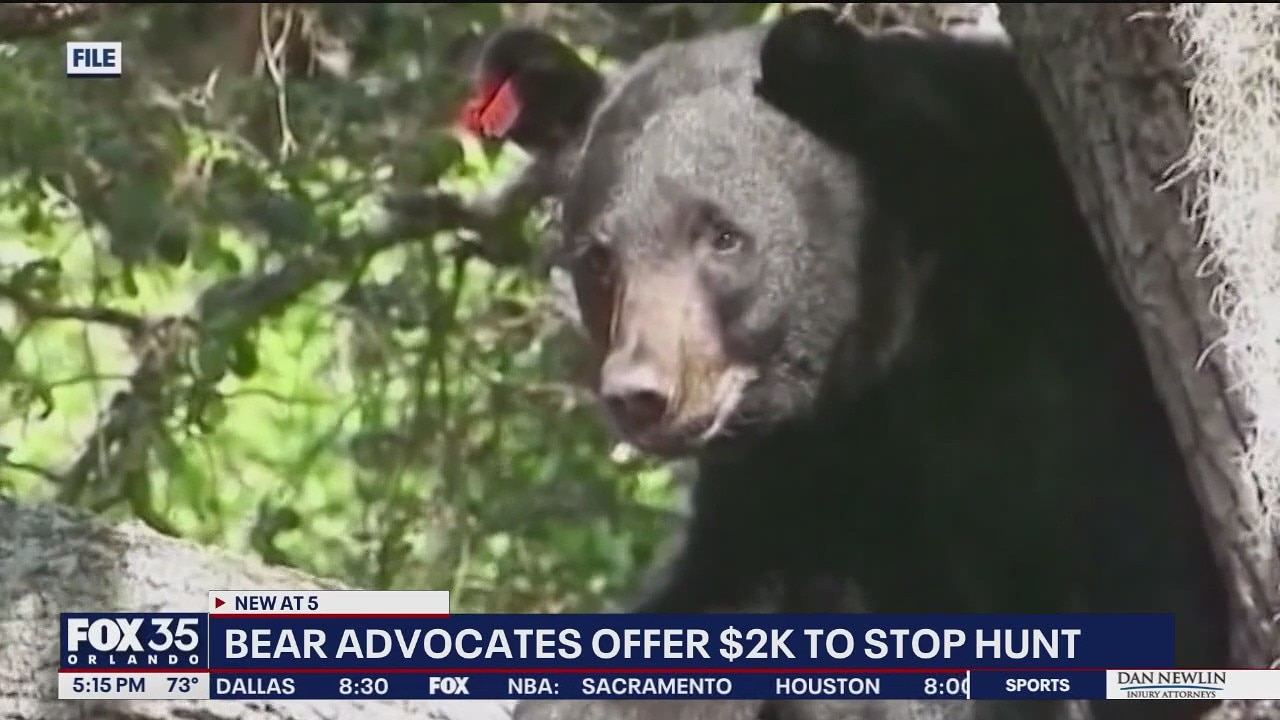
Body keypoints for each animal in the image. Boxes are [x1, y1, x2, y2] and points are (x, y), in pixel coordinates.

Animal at [456, 8, 1229, 720]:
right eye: (598, 257)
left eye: (723, 236)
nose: (640, 394)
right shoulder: (798, 465)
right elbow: (727, 589)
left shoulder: (1064, 353)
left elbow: (1137, 576)